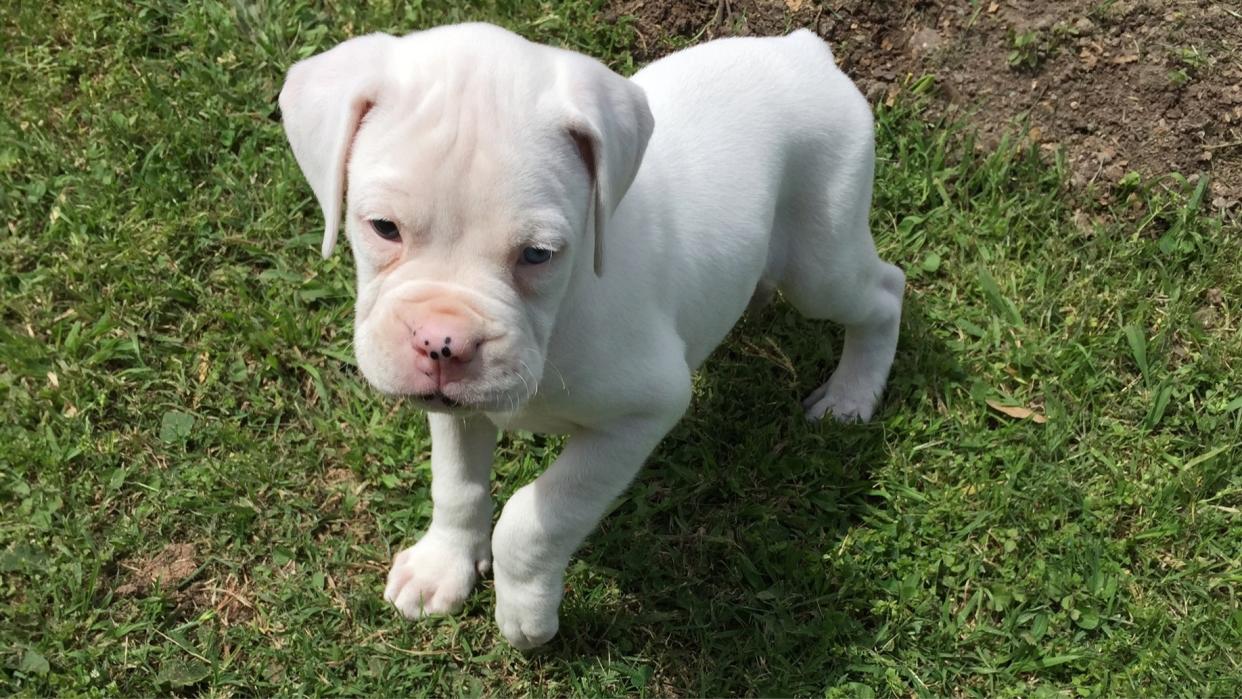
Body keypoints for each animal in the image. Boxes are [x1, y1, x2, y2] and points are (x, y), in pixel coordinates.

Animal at [279, 23, 904, 650]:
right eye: (383, 228)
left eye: (538, 255)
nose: (442, 343)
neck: (560, 317)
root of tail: (801, 49)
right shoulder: (455, 410)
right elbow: (456, 484)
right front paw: (442, 565)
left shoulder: (640, 415)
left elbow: (537, 516)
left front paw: (525, 616)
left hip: (821, 262)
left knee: (884, 293)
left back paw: (851, 395)